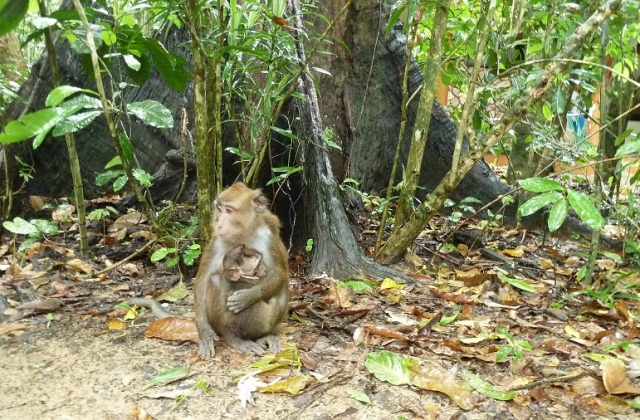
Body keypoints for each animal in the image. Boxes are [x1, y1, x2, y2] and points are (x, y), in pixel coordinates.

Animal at [194, 183, 289, 359]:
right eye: (219, 209)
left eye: (229, 211)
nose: (219, 224)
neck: (244, 232)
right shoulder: (217, 239)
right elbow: (203, 280)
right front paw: (205, 333)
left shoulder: (269, 236)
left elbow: (280, 274)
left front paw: (246, 297)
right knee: (215, 280)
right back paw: (233, 337)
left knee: (282, 290)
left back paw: (262, 336)